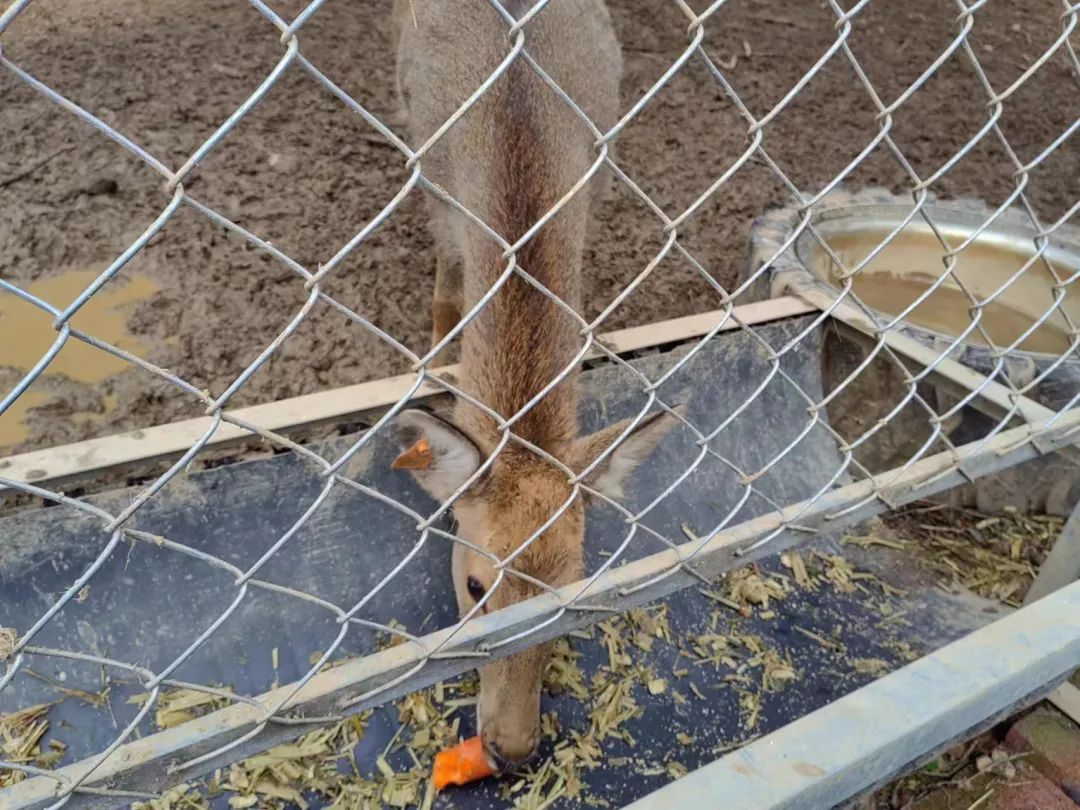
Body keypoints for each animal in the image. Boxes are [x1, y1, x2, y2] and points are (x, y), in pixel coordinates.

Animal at [390, 0, 681, 773]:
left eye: (574, 588)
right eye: (473, 587)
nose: (513, 747)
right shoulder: (438, 196)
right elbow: (445, 291)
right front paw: (433, 360)